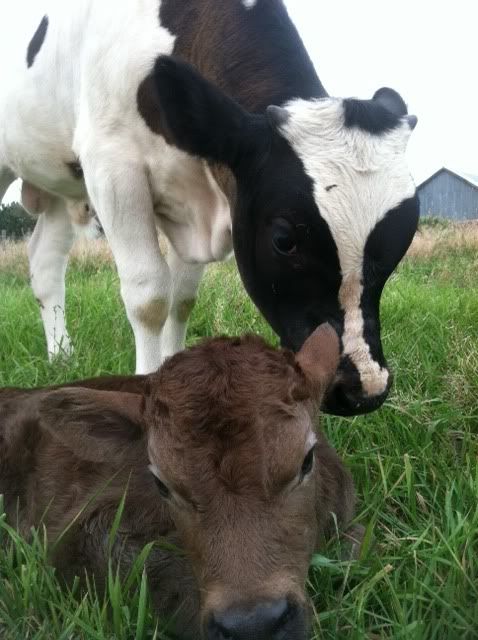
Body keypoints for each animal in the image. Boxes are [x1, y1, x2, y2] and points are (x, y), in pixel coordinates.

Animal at [0, 0, 419, 415]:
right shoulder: (111, 165)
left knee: (45, 263)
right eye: (284, 238)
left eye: (405, 237)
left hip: (57, 188)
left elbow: (182, 298)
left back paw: (60, 356)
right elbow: (149, 296)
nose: (363, 390)